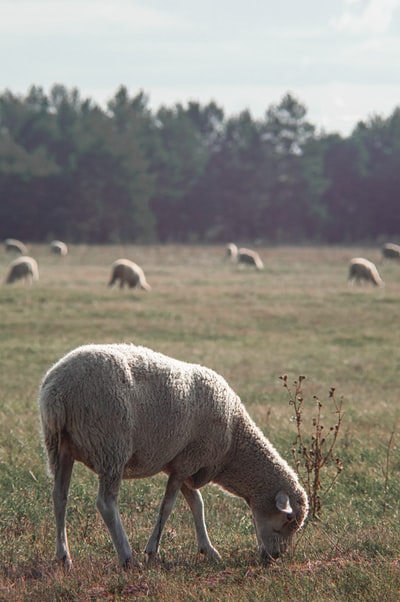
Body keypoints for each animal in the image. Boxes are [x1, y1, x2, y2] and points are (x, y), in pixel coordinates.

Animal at [39, 342, 310, 568]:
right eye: (288, 521)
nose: (275, 557)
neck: (233, 443)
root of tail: (57, 390)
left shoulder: (183, 463)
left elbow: (197, 504)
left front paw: (208, 550)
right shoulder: (187, 462)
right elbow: (168, 507)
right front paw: (152, 551)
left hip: (60, 447)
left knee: (59, 497)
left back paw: (64, 557)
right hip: (111, 446)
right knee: (106, 503)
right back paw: (126, 557)